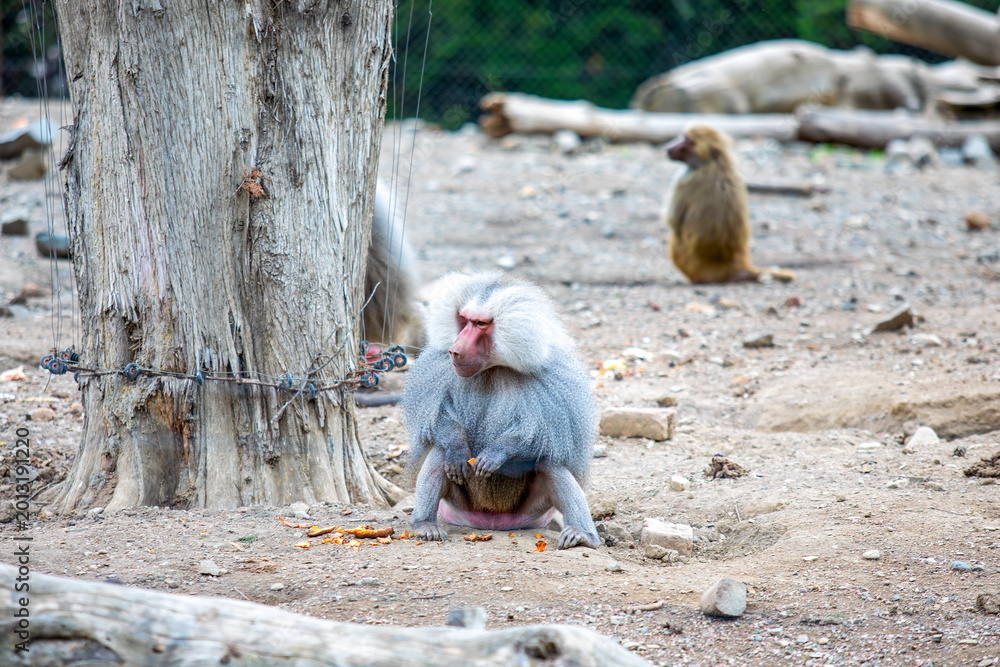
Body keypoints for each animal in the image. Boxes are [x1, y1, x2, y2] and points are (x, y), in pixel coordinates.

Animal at [402, 272, 600, 550]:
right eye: (463, 319)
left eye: (481, 324)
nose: (455, 350)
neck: (493, 368)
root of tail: (493, 523)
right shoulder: (437, 369)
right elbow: (436, 420)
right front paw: (457, 446)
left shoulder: (557, 382)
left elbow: (545, 438)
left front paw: (496, 453)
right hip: (459, 508)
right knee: (441, 454)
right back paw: (424, 525)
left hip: (533, 513)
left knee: (549, 463)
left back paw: (583, 534)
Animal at [663, 126, 795, 284]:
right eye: (683, 136)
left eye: (688, 140)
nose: (668, 148)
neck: (714, 162)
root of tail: (736, 266)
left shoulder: (683, 180)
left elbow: (673, 221)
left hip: (687, 260)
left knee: (675, 237)